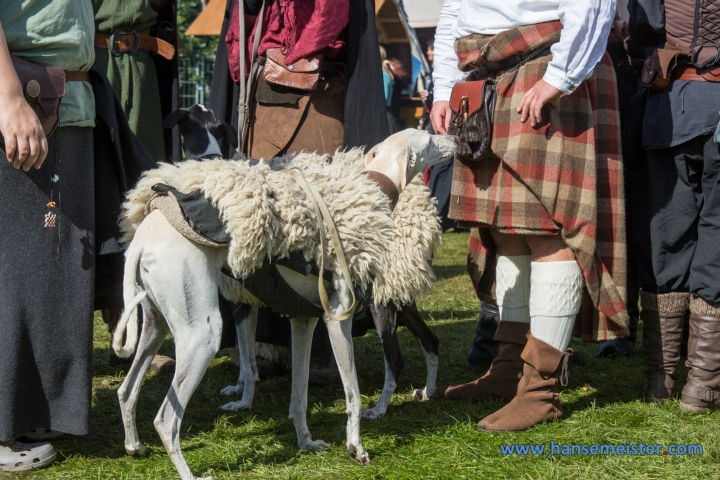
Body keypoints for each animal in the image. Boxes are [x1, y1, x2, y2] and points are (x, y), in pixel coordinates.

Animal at [115, 129, 458, 478]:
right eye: (429, 140)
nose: (455, 138)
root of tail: (140, 241)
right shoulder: (337, 319)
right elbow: (353, 396)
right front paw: (356, 448)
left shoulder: (303, 320)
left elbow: (299, 395)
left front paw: (306, 442)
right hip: (203, 336)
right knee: (166, 419)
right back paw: (189, 472)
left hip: (156, 326)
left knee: (126, 391)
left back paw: (134, 446)